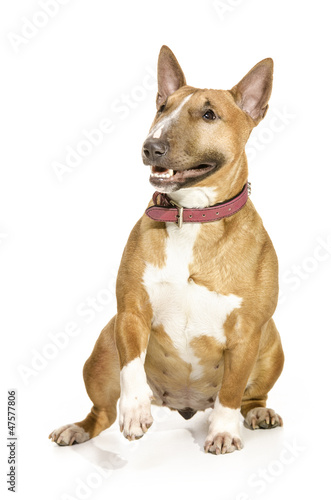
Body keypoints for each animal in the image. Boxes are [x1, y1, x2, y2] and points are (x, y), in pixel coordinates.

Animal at [49, 46, 286, 454]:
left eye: (209, 114)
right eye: (162, 107)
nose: (151, 147)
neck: (191, 216)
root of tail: (187, 404)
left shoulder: (247, 332)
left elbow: (232, 390)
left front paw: (223, 432)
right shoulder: (131, 312)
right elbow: (131, 369)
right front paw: (135, 411)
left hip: (271, 344)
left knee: (250, 395)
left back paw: (258, 413)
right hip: (102, 352)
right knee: (101, 412)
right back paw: (78, 429)